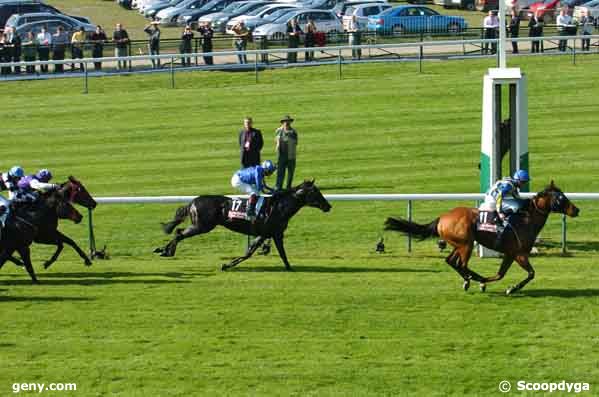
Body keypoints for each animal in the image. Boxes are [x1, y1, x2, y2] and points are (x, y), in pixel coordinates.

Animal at [155, 179, 332, 270]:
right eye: (315, 192)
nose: (328, 206)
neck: (279, 207)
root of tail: (193, 201)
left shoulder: (268, 234)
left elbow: (251, 252)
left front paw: (228, 264)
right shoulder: (273, 233)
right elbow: (275, 253)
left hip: (200, 225)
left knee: (178, 231)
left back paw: (163, 250)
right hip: (202, 226)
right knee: (179, 233)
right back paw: (166, 251)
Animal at [384, 182, 580, 294]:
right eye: (561, 197)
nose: (576, 210)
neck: (526, 219)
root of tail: (442, 218)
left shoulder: (510, 253)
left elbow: (500, 274)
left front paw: (502, 286)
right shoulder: (519, 253)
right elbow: (531, 273)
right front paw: (511, 288)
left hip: (459, 244)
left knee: (451, 261)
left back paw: (471, 280)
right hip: (466, 244)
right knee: (461, 264)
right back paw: (475, 280)